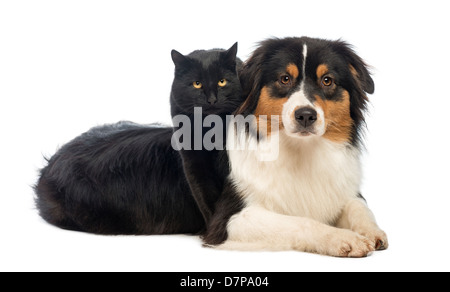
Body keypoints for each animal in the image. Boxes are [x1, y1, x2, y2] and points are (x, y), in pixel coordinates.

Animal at [203, 37, 386, 258]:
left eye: (327, 80)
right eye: (285, 79)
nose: (306, 115)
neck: (301, 151)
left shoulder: (346, 189)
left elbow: (359, 207)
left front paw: (371, 231)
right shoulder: (230, 219)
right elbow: (300, 221)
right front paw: (343, 237)